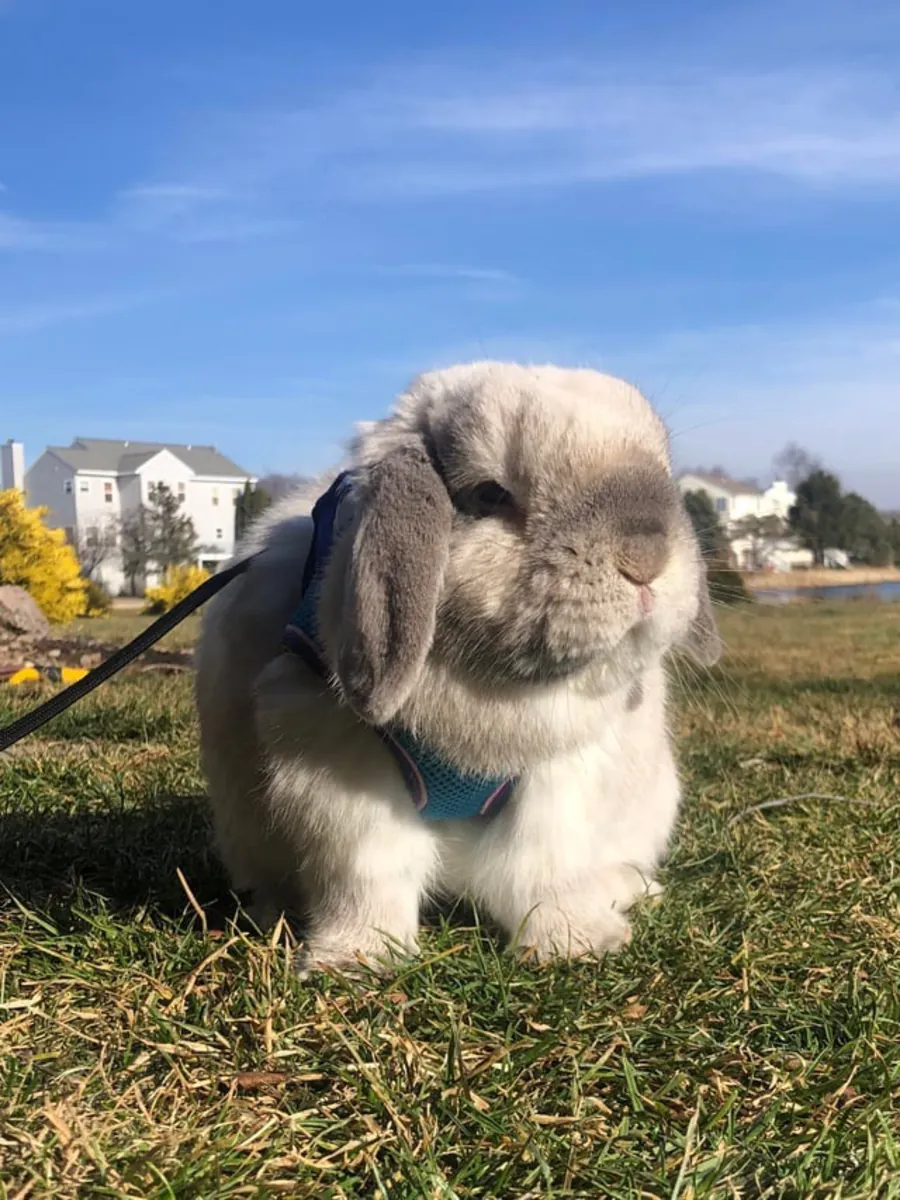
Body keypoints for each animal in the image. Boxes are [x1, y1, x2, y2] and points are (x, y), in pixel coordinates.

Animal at [194, 361, 721, 975]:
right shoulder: (341, 774)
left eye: (661, 473)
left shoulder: (564, 776)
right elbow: (369, 875)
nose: (646, 559)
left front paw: (577, 943)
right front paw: (356, 958)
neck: (493, 689)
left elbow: (547, 867)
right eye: (489, 494)